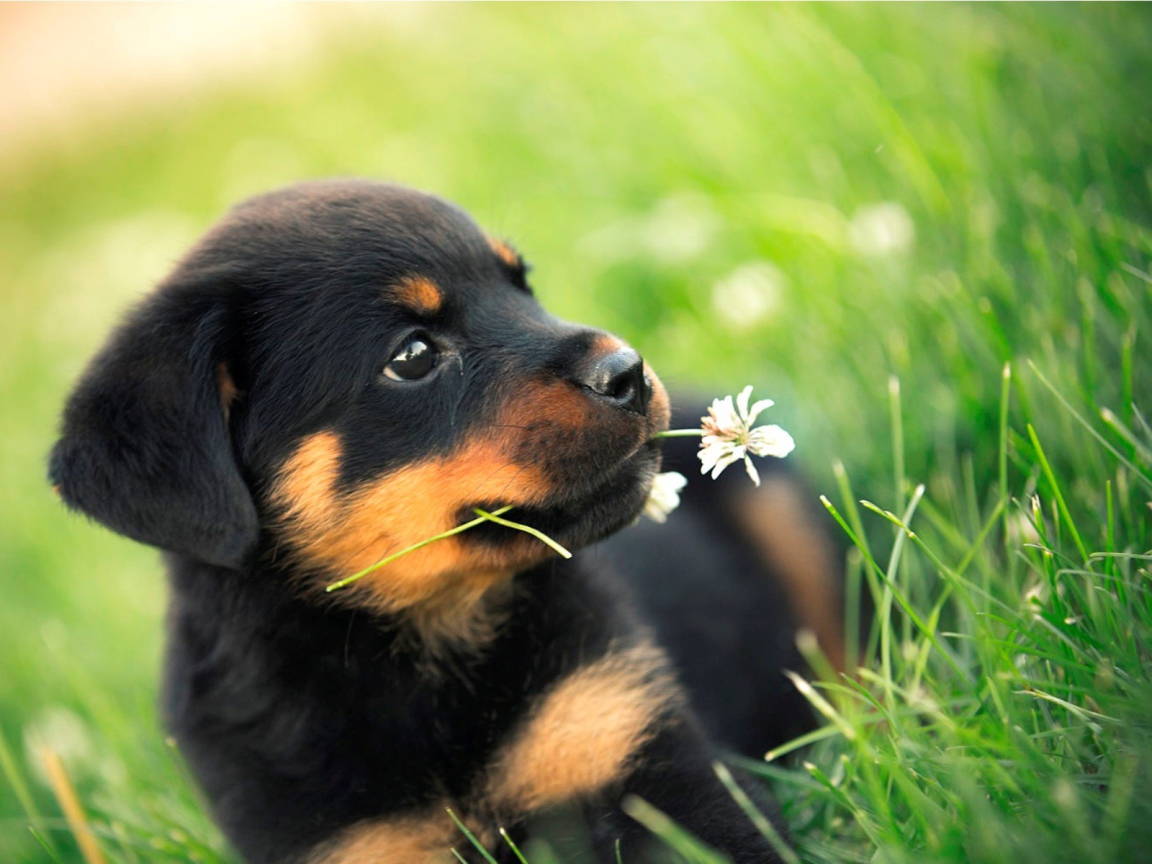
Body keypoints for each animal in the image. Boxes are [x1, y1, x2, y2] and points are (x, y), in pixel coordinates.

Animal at [50, 180, 843, 863]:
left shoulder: (634, 743)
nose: (628, 370)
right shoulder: (352, 844)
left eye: (522, 284)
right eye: (413, 356)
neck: (424, 645)